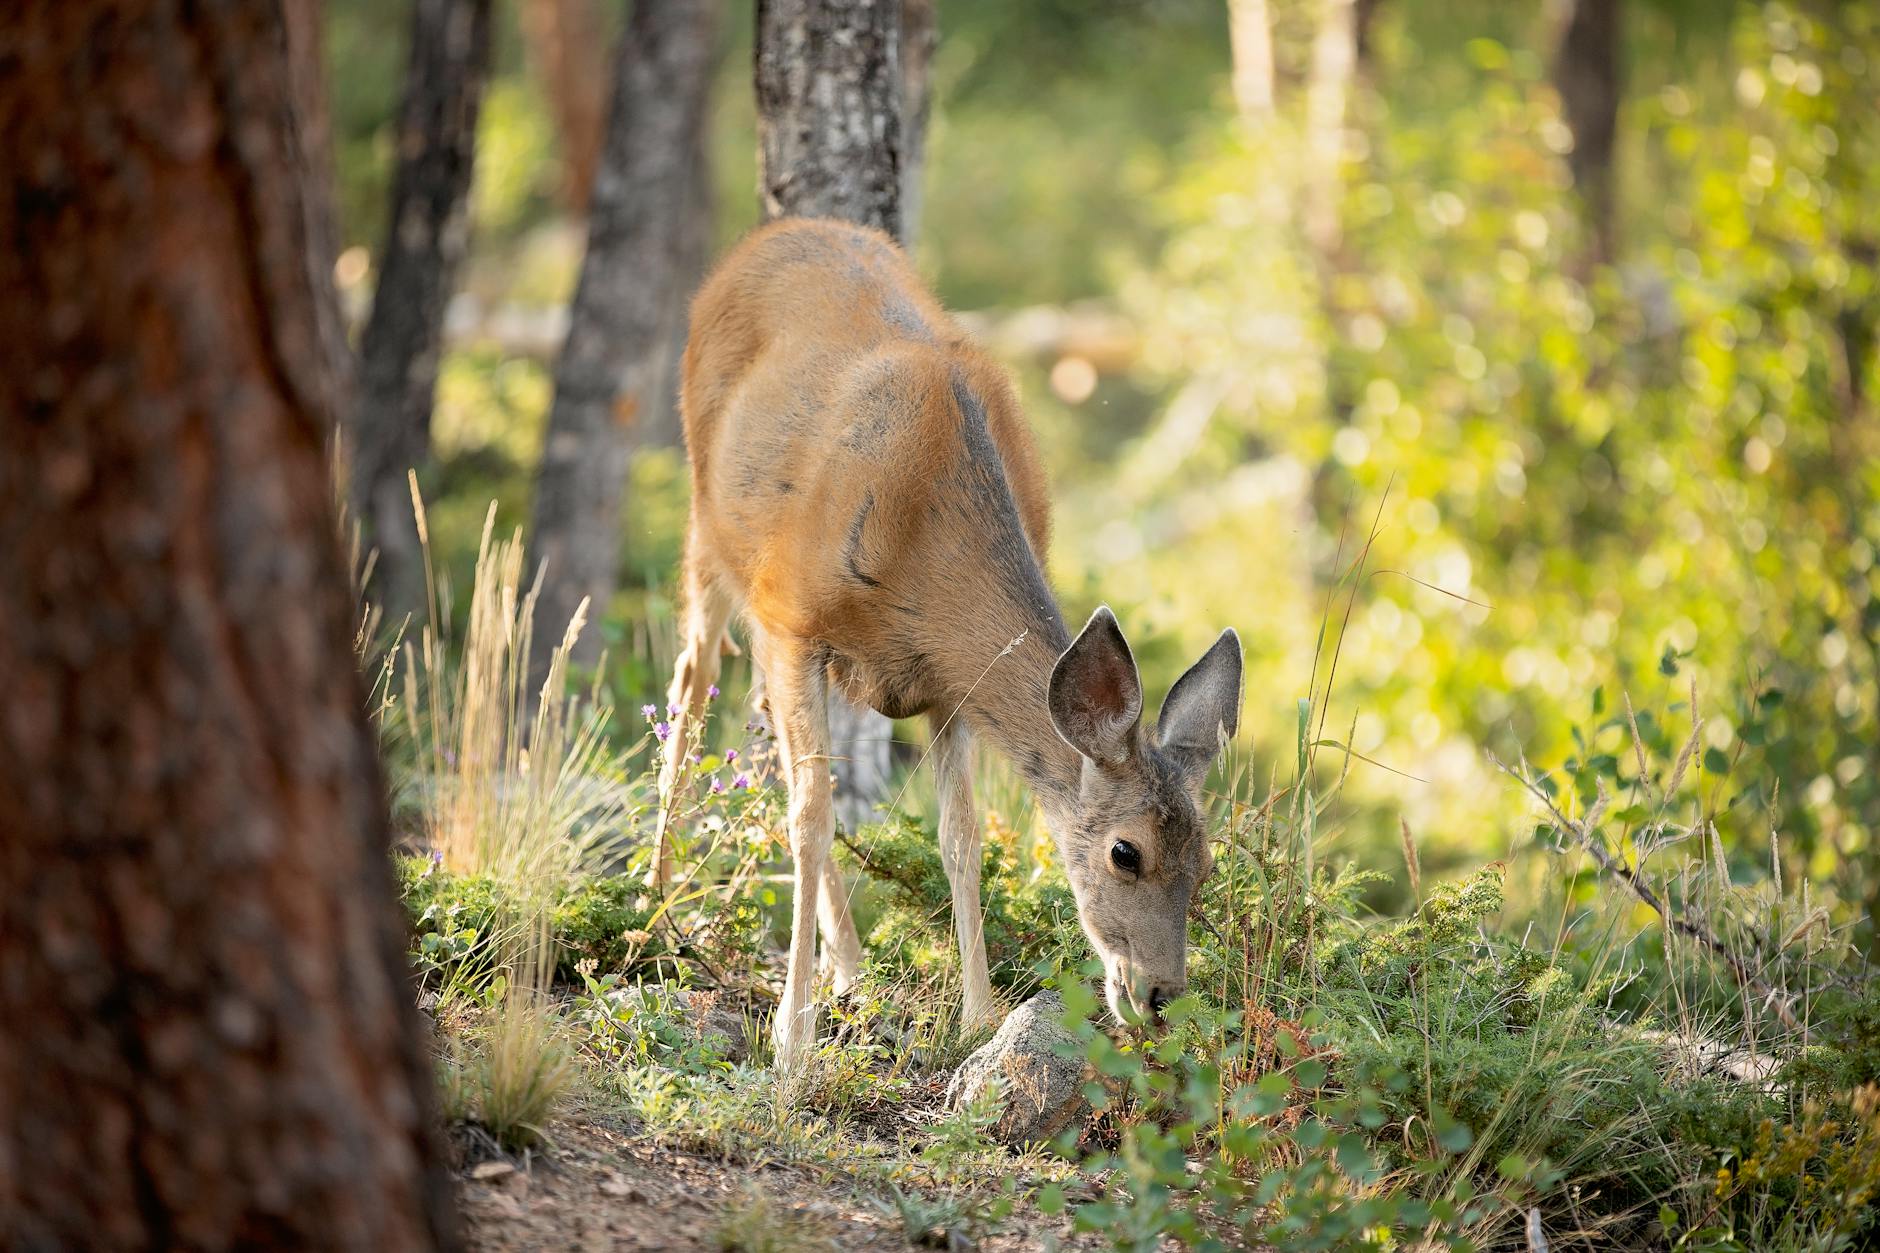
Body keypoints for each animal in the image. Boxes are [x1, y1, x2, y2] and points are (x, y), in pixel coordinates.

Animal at [651, 218, 1243, 1070]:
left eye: (1205, 861)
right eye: (1125, 851)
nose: (1161, 997)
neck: (925, 537)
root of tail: (771, 233)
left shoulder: (948, 681)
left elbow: (958, 836)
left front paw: (978, 1013)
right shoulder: (795, 615)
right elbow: (810, 819)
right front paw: (792, 1035)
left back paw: (851, 967)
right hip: (712, 527)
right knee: (691, 690)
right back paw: (657, 901)